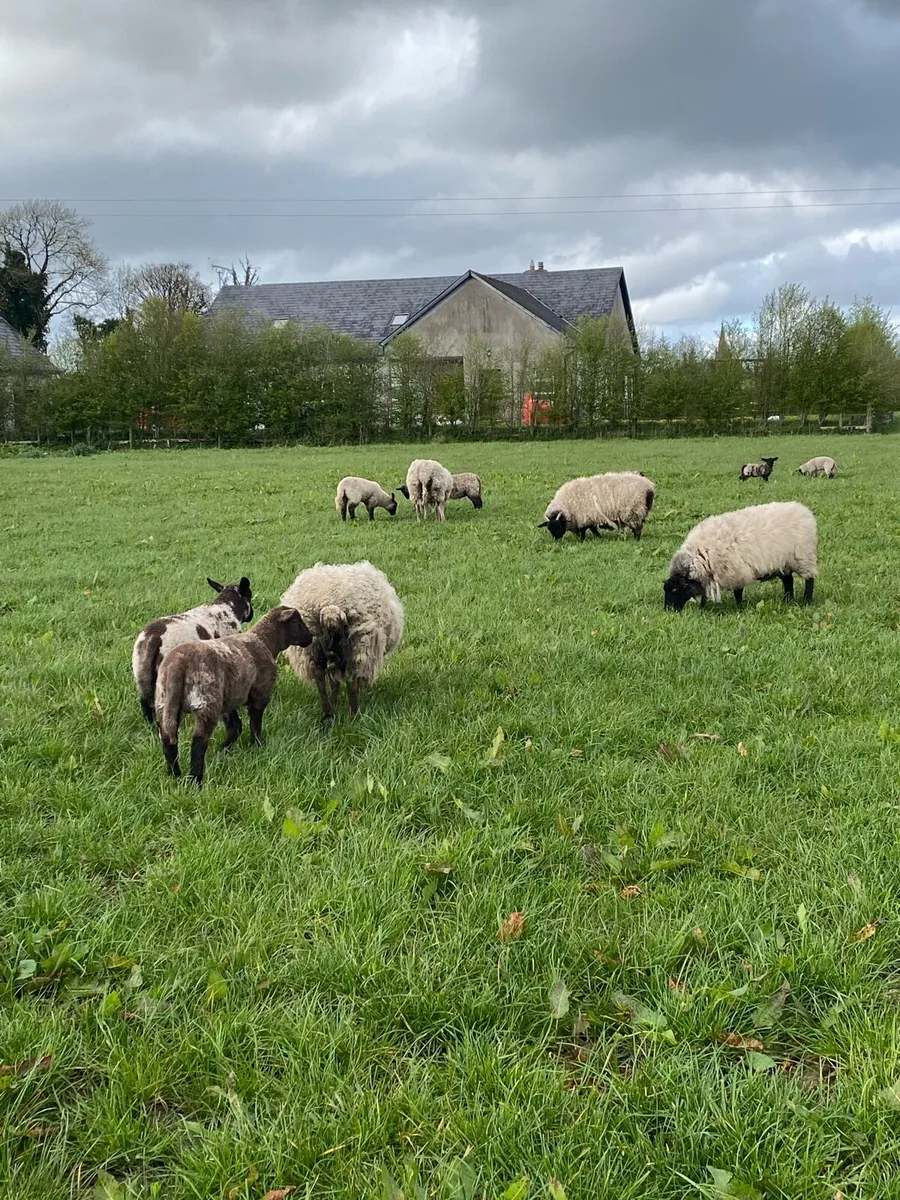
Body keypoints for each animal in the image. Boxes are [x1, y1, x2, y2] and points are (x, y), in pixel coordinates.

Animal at [132, 576, 254, 725]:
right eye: (250, 595)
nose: (251, 615)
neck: (227, 606)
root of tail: (153, 638)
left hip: (142, 675)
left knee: (146, 705)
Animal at [155, 605, 312, 786]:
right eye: (296, 622)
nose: (310, 637)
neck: (264, 641)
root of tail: (178, 663)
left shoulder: (230, 698)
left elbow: (235, 726)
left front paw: (224, 749)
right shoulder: (260, 694)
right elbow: (254, 725)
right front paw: (257, 746)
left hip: (165, 702)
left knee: (167, 739)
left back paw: (175, 776)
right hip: (206, 702)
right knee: (198, 743)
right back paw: (196, 780)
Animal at [281, 560, 404, 720]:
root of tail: (330, 608)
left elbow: (334, 681)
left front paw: (335, 701)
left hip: (310, 646)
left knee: (319, 677)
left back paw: (328, 714)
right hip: (359, 643)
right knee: (352, 680)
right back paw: (354, 716)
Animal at [663, 500, 817, 611]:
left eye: (675, 589)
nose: (668, 610)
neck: (701, 554)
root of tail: (803, 510)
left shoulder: (735, 572)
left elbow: (738, 592)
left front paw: (739, 607)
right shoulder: (708, 576)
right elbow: (704, 594)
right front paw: (702, 607)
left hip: (803, 557)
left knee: (809, 579)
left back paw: (807, 601)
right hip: (783, 561)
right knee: (788, 580)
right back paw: (787, 600)